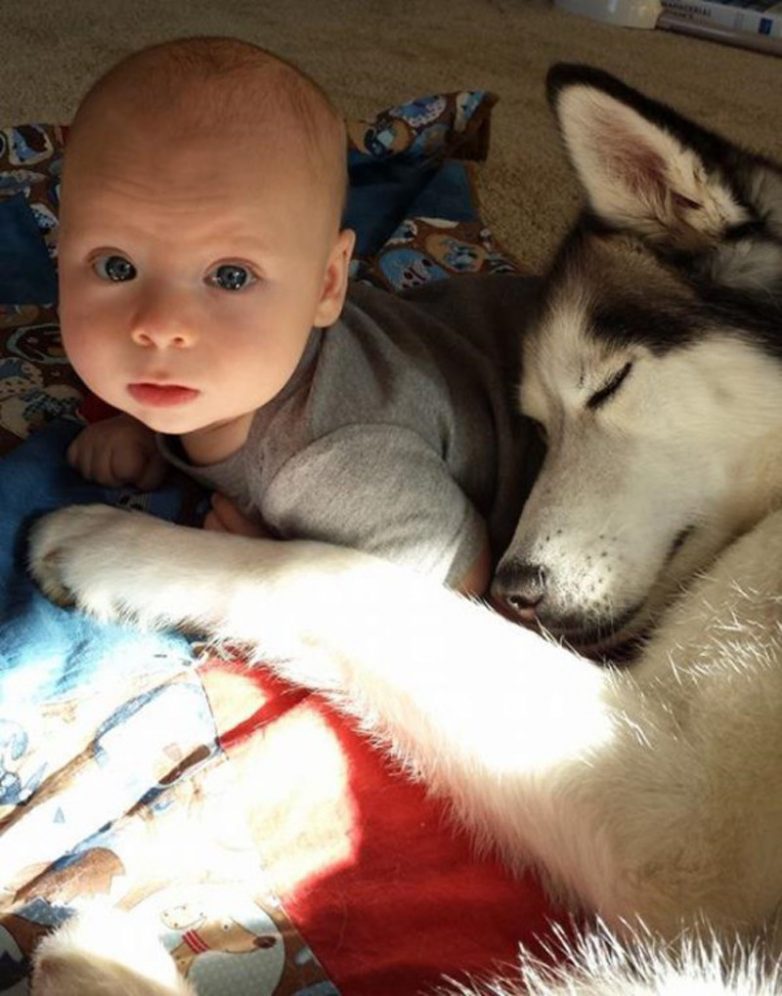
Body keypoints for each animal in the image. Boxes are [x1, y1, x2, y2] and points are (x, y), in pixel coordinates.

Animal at [26, 65, 782, 993]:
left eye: (609, 384)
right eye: (537, 424)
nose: (515, 590)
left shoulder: (687, 819)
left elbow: (323, 572)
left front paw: (114, 545)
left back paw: (97, 956)